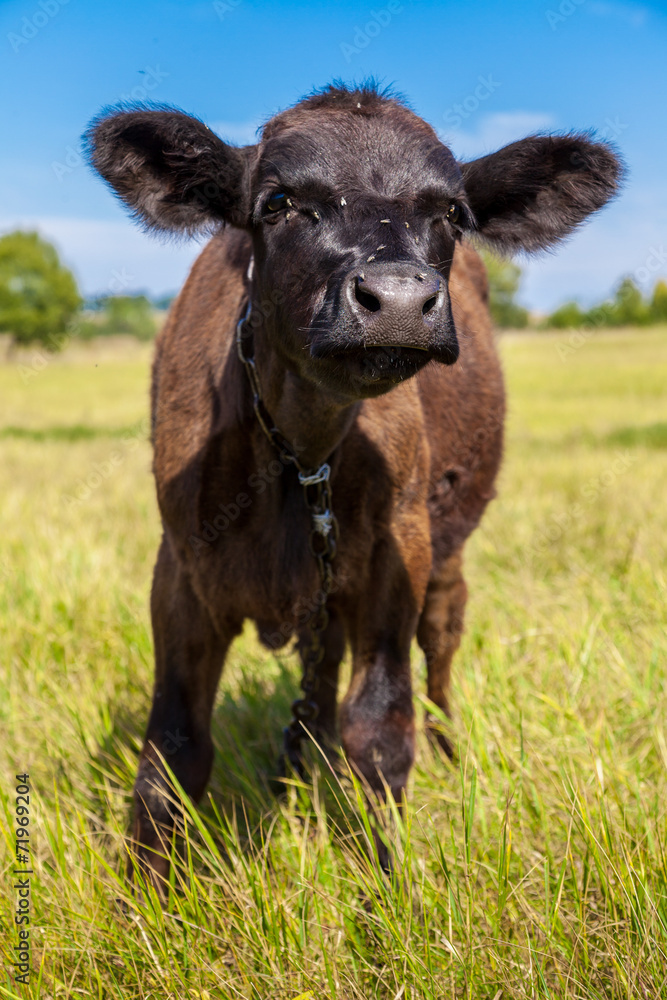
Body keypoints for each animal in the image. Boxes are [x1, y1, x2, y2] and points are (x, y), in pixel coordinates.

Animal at [86, 82, 622, 887]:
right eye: (277, 201)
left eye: (452, 213)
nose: (398, 298)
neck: (298, 452)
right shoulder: (178, 569)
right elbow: (173, 752)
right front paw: (146, 898)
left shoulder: (395, 557)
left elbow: (380, 728)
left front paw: (389, 885)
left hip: (443, 554)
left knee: (437, 649)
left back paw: (446, 751)